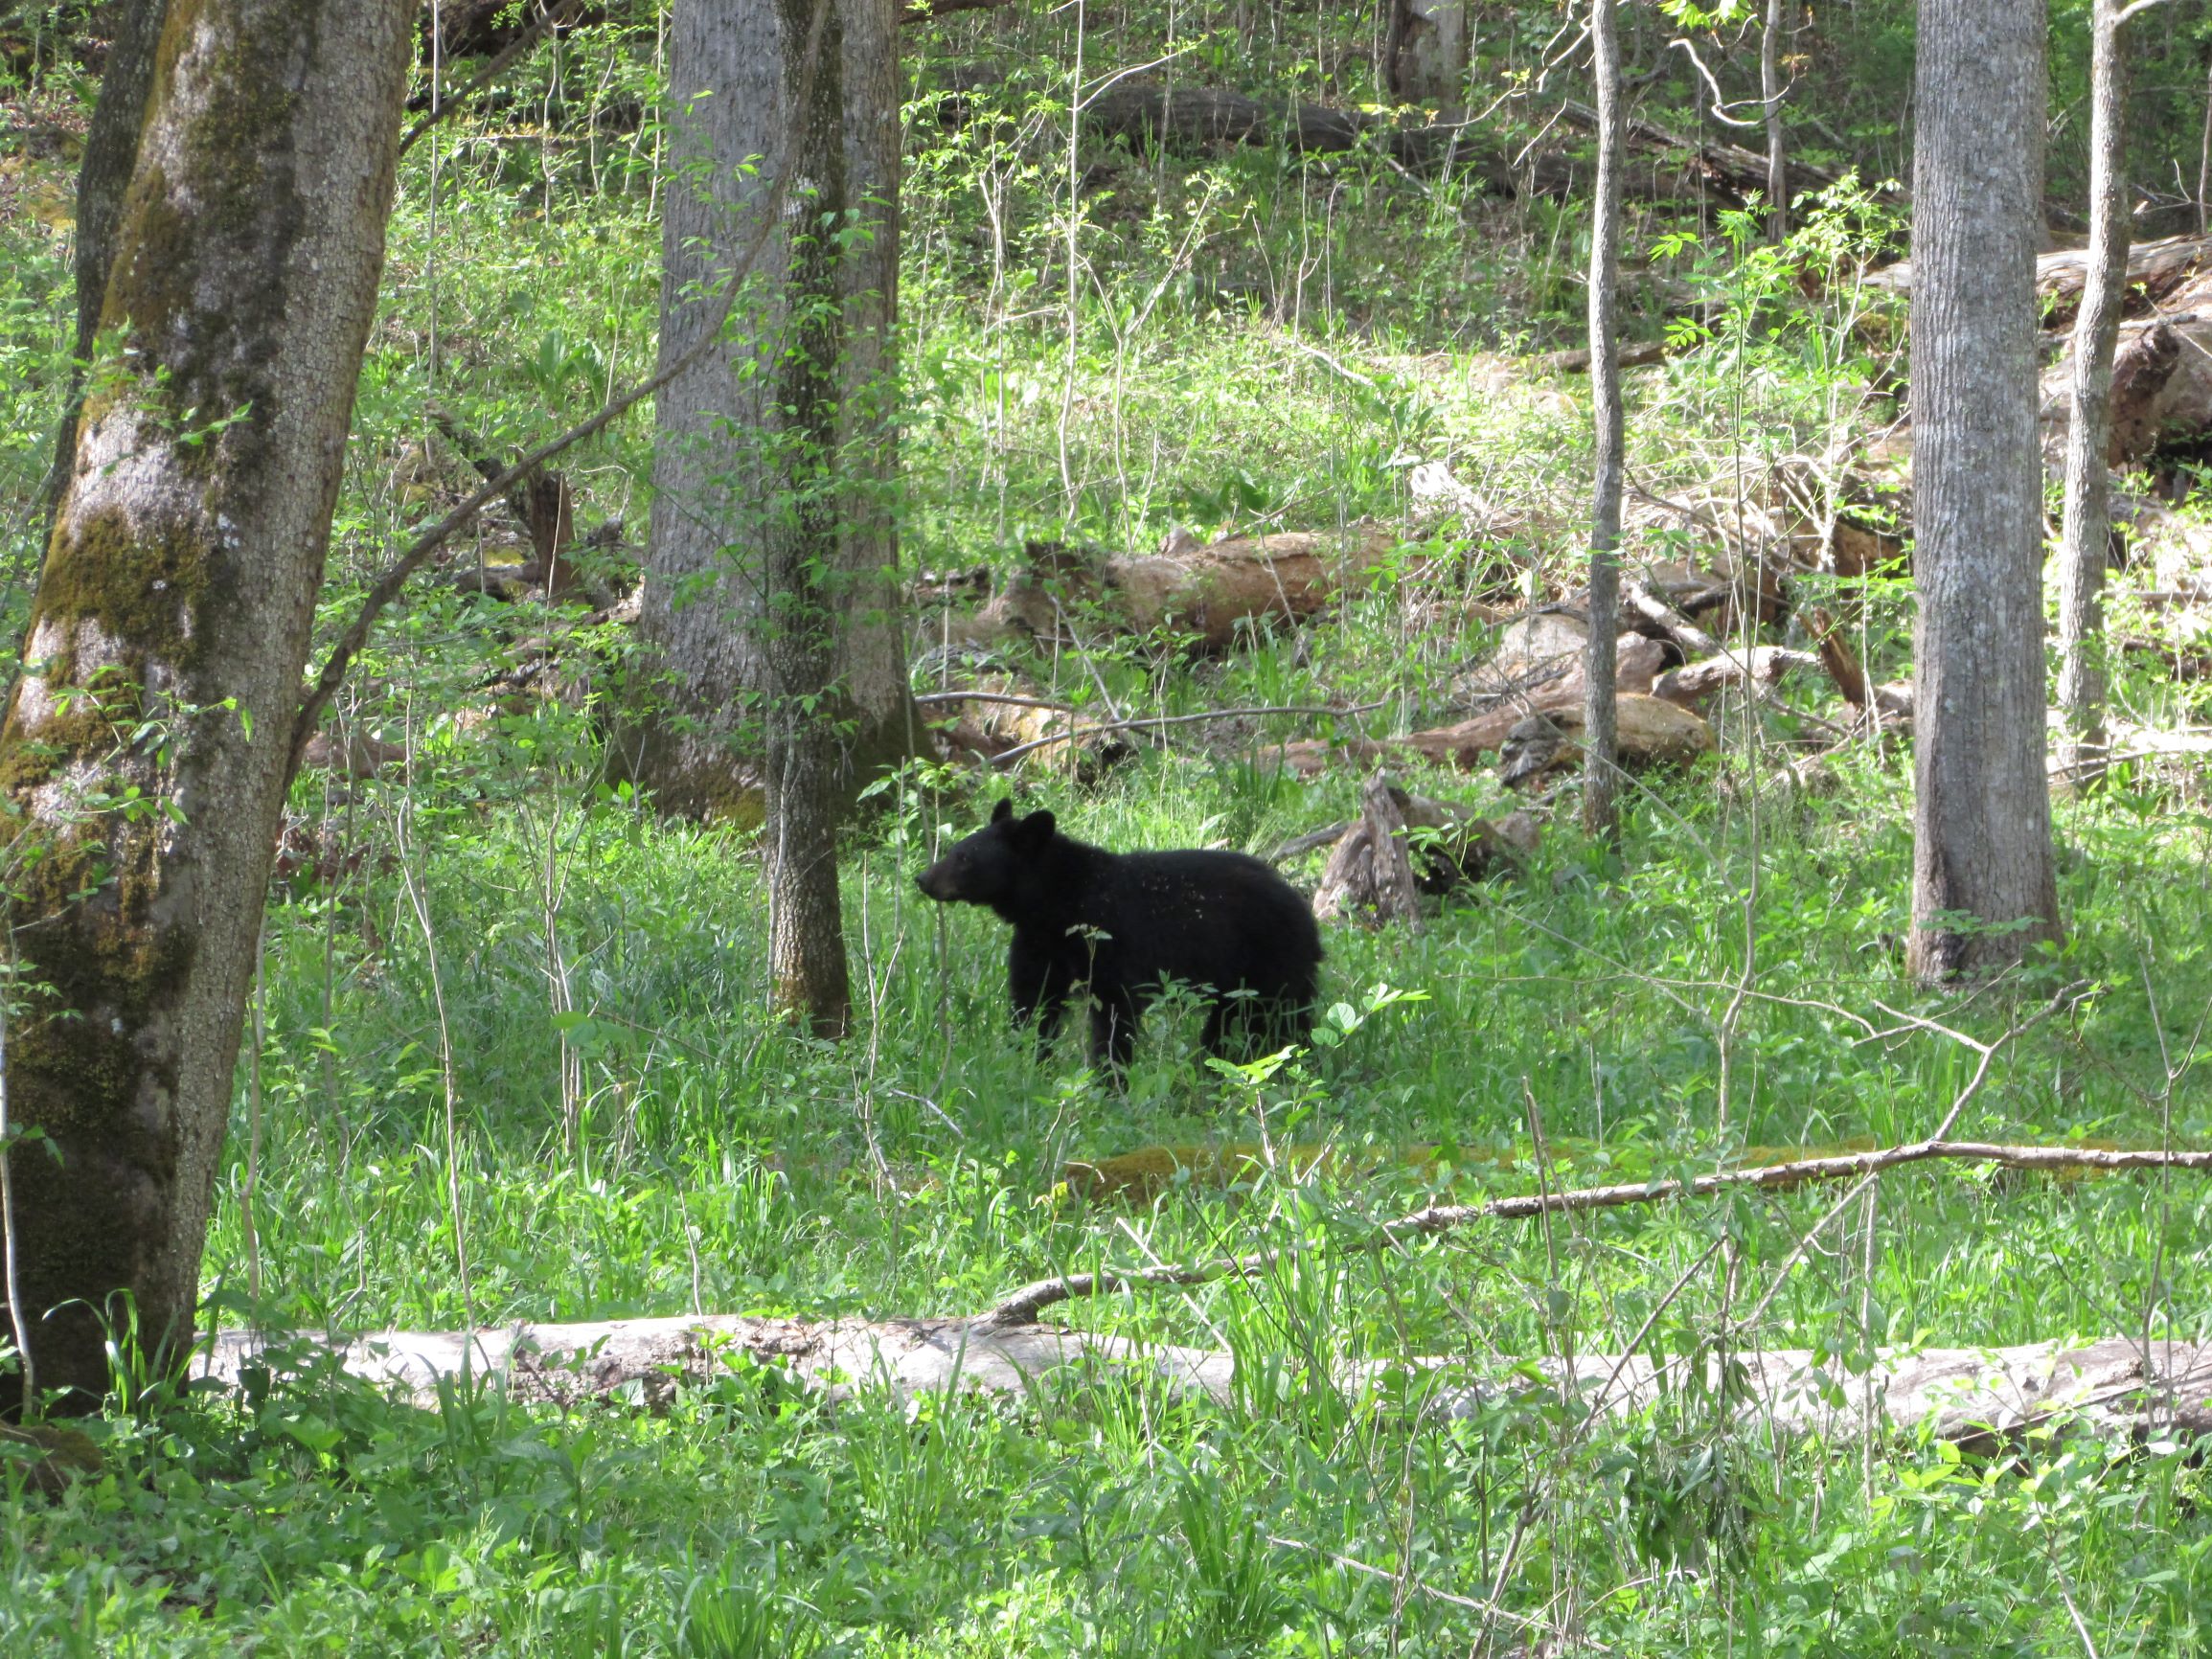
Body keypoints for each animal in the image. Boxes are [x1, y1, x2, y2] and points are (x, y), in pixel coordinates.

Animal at [915, 798, 1324, 1074]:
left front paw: (1109, 1083)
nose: (922, 878)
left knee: (1281, 1020)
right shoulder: (1038, 945)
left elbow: (1115, 1013)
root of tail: (1306, 910)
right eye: (955, 849)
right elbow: (1032, 1004)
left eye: (965, 858)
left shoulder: (1110, 941)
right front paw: (1026, 1066)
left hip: (1271, 962)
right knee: (1229, 1023)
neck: (1057, 904)